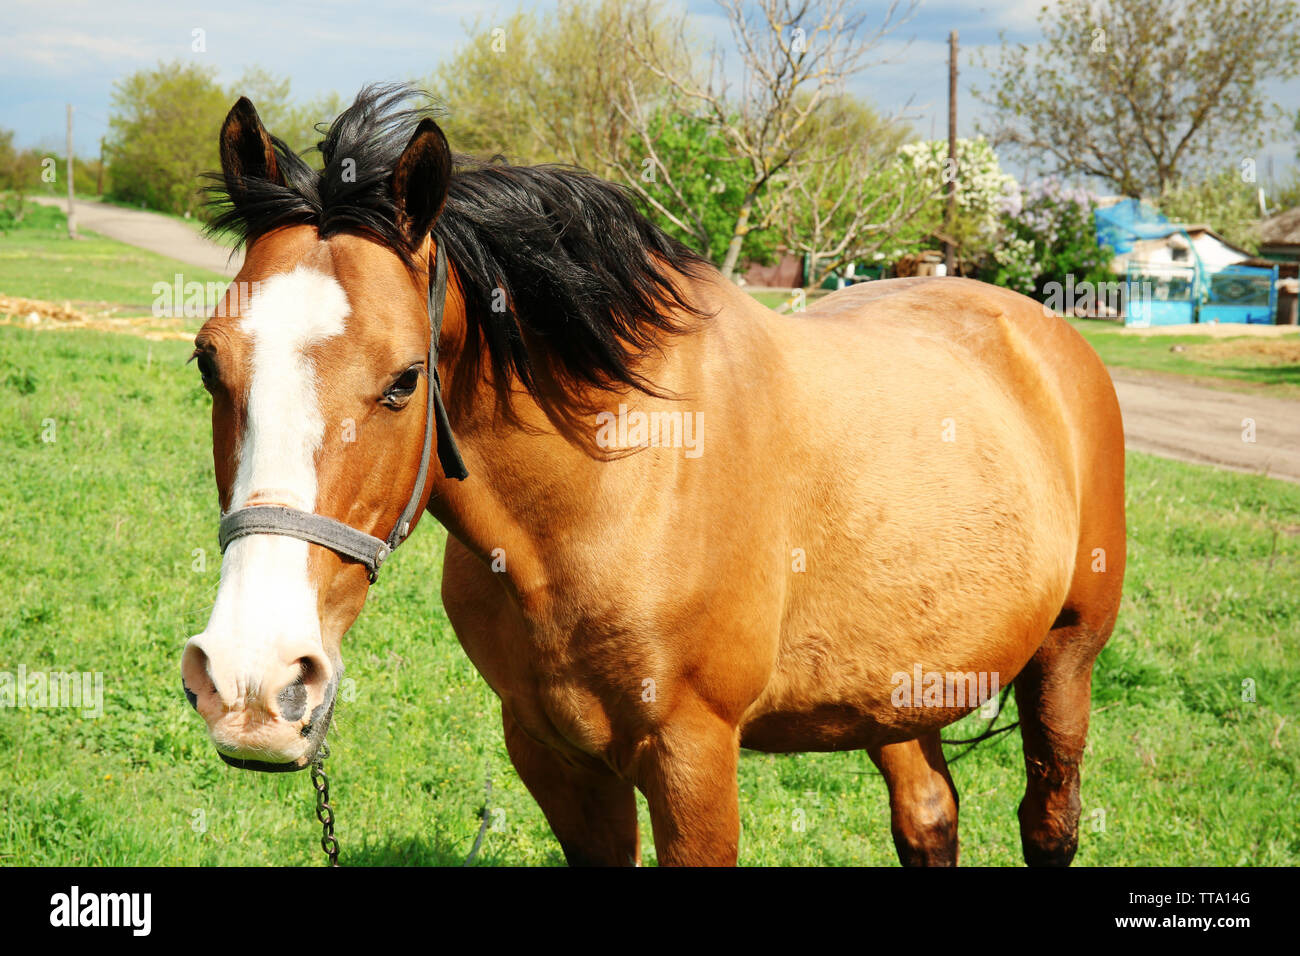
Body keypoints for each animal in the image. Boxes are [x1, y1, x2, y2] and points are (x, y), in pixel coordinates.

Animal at [181, 85, 1126, 867]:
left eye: (405, 379)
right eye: (207, 361)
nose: (251, 683)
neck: (616, 487)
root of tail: (1041, 327)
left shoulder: (692, 757)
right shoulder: (554, 755)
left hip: (1064, 662)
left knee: (1048, 820)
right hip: (898, 689)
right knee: (929, 815)